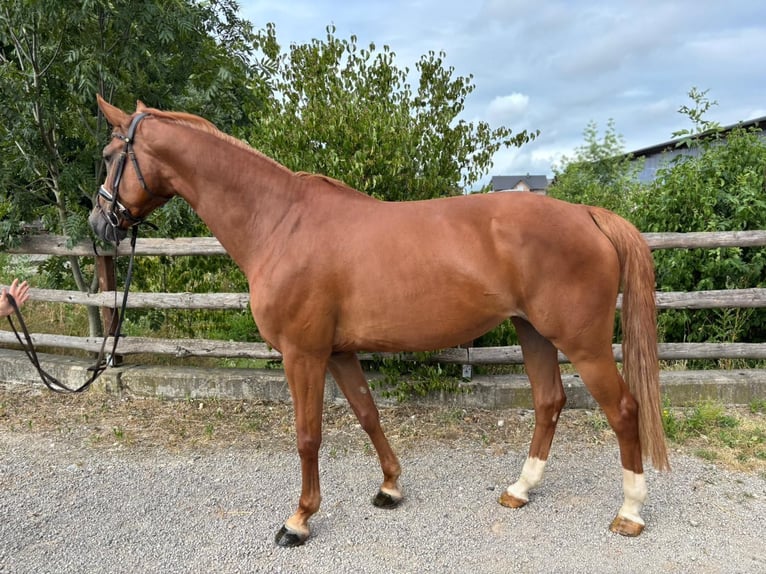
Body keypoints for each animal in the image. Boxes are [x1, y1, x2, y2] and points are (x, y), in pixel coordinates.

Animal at [89, 95, 669, 547]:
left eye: (111, 156)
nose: (99, 223)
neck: (280, 221)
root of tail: (588, 214)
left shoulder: (303, 354)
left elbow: (308, 434)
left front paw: (298, 520)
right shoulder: (339, 351)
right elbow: (368, 415)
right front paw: (390, 487)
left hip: (582, 343)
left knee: (623, 409)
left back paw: (630, 512)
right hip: (535, 334)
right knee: (549, 401)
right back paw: (520, 490)